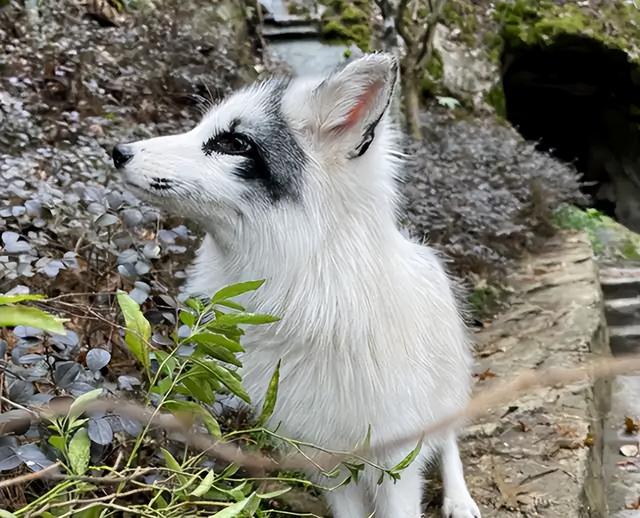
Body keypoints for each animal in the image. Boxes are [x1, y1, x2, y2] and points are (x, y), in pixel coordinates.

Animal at [112, 52, 478, 518]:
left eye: (235, 143)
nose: (118, 152)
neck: (310, 296)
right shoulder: (324, 460)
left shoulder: (396, 459)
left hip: (445, 393)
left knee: (449, 440)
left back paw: (459, 498)